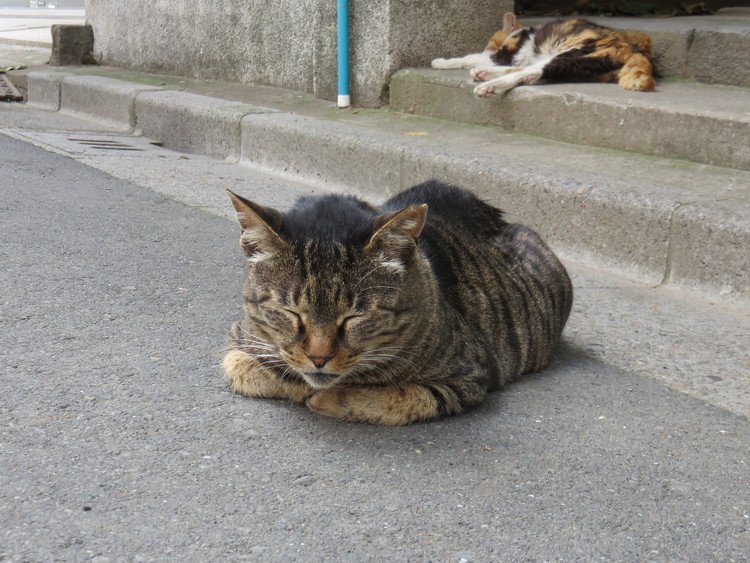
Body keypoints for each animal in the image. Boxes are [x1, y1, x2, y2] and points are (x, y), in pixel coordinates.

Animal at [222, 183, 568, 426]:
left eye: (354, 317)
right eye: (291, 313)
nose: (319, 359)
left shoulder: (469, 375)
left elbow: (401, 397)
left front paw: (326, 397)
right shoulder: (238, 338)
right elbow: (247, 368)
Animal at [432, 12, 656, 96]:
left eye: (490, 43)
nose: (489, 48)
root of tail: (633, 49)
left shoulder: (504, 53)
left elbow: (469, 57)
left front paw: (440, 62)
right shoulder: (509, 56)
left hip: (572, 53)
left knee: (528, 72)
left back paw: (489, 86)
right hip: (575, 63)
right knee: (529, 72)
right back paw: (483, 74)